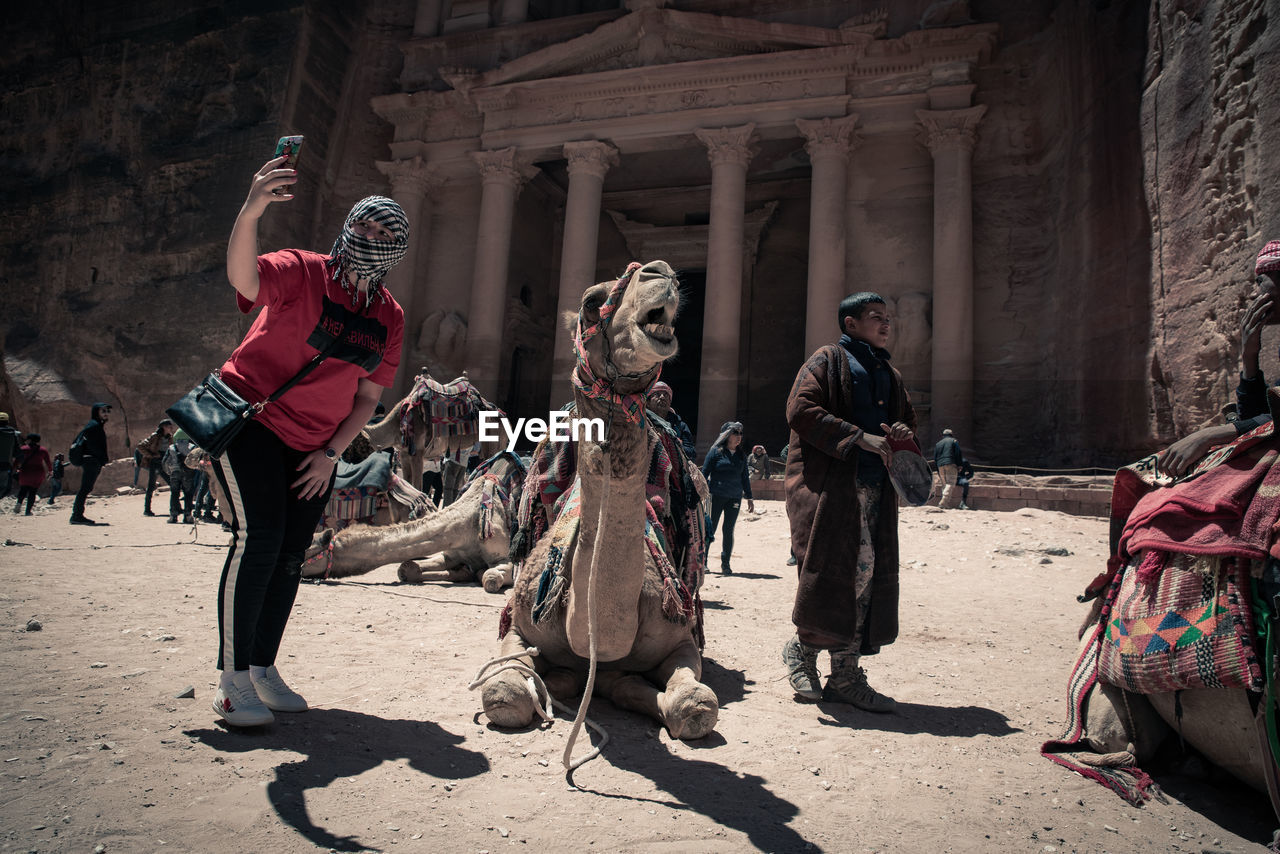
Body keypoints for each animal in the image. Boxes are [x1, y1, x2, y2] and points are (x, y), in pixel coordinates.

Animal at [299, 448, 524, 594]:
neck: (466, 523)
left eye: (308, 549)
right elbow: (407, 568)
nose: (297, 570)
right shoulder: (451, 554)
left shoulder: (504, 558)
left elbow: (489, 578)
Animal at [481, 258, 721, 742]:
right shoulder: (519, 626)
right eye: (593, 302)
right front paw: (546, 685)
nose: (660, 272)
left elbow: (695, 704)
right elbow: (505, 694)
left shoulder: (680, 637)